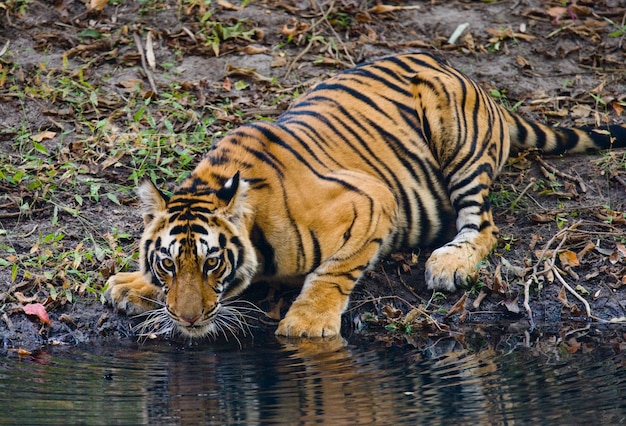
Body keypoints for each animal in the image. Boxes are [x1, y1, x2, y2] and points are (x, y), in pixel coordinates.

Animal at [105, 53, 624, 340]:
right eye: (168, 264)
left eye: (212, 262)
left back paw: (449, 263)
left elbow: (335, 270)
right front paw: (131, 285)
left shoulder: (373, 200)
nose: (188, 319)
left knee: (484, 224)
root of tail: (480, 87)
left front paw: (306, 324)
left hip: (457, 142)